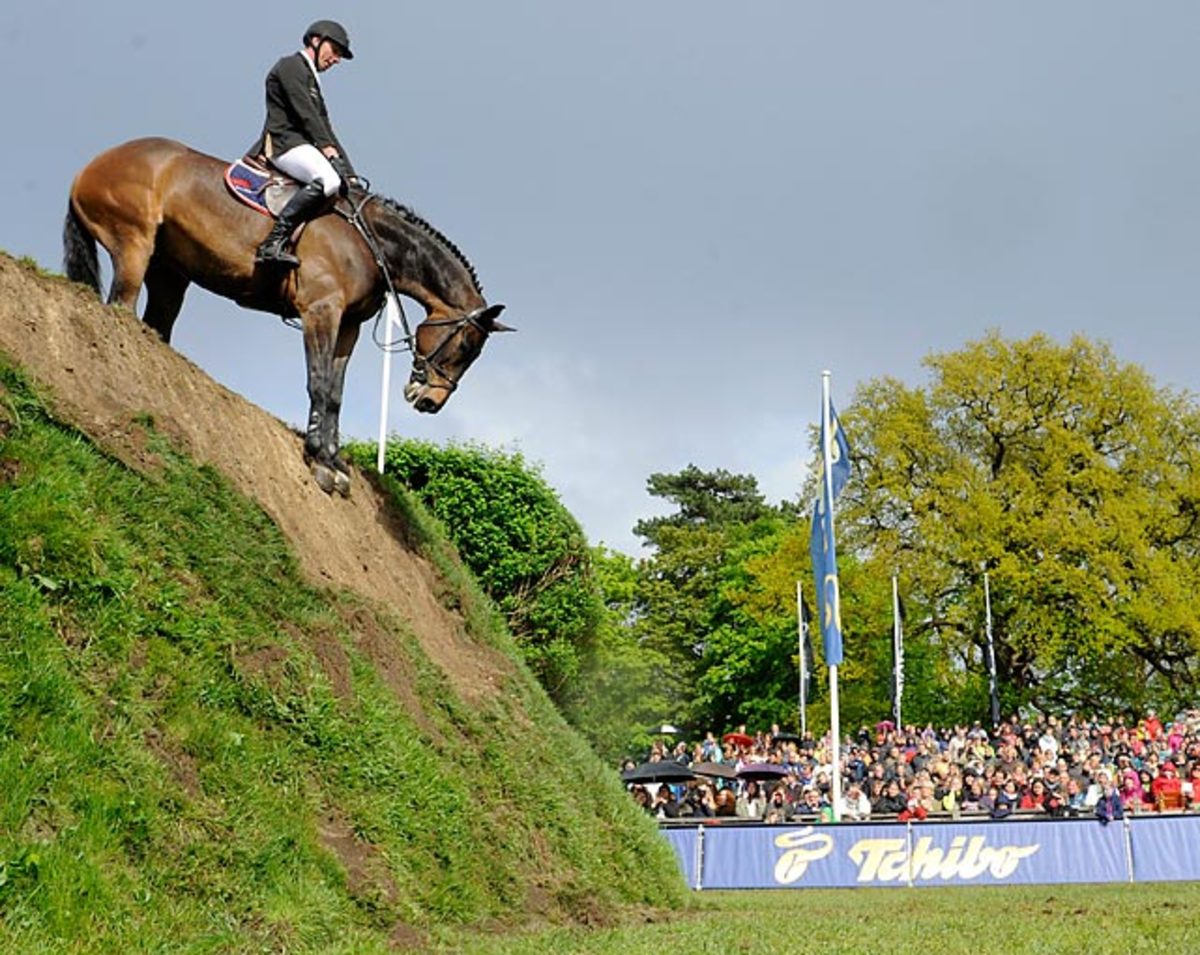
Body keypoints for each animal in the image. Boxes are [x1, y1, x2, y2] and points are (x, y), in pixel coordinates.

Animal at [62, 137, 511, 496]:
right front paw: (317, 457)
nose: (431, 403)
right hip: (134, 245)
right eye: (465, 346)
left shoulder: (348, 326)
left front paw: (334, 461)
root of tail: (92, 165)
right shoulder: (321, 312)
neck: (372, 243)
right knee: (121, 307)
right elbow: (318, 382)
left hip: (170, 274)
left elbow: (335, 393)